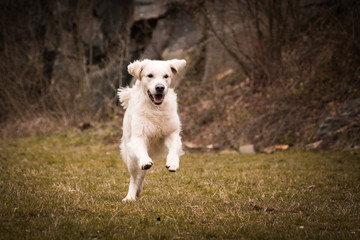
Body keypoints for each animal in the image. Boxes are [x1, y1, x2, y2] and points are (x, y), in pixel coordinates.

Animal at [118, 59, 187, 202]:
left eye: (166, 76)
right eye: (150, 75)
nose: (160, 87)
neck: (156, 109)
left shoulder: (171, 133)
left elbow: (174, 148)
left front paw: (173, 163)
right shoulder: (138, 136)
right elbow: (141, 152)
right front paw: (145, 161)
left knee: (142, 175)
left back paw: (138, 191)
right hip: (130, 158)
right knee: (134, 177)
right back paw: (130, 196)